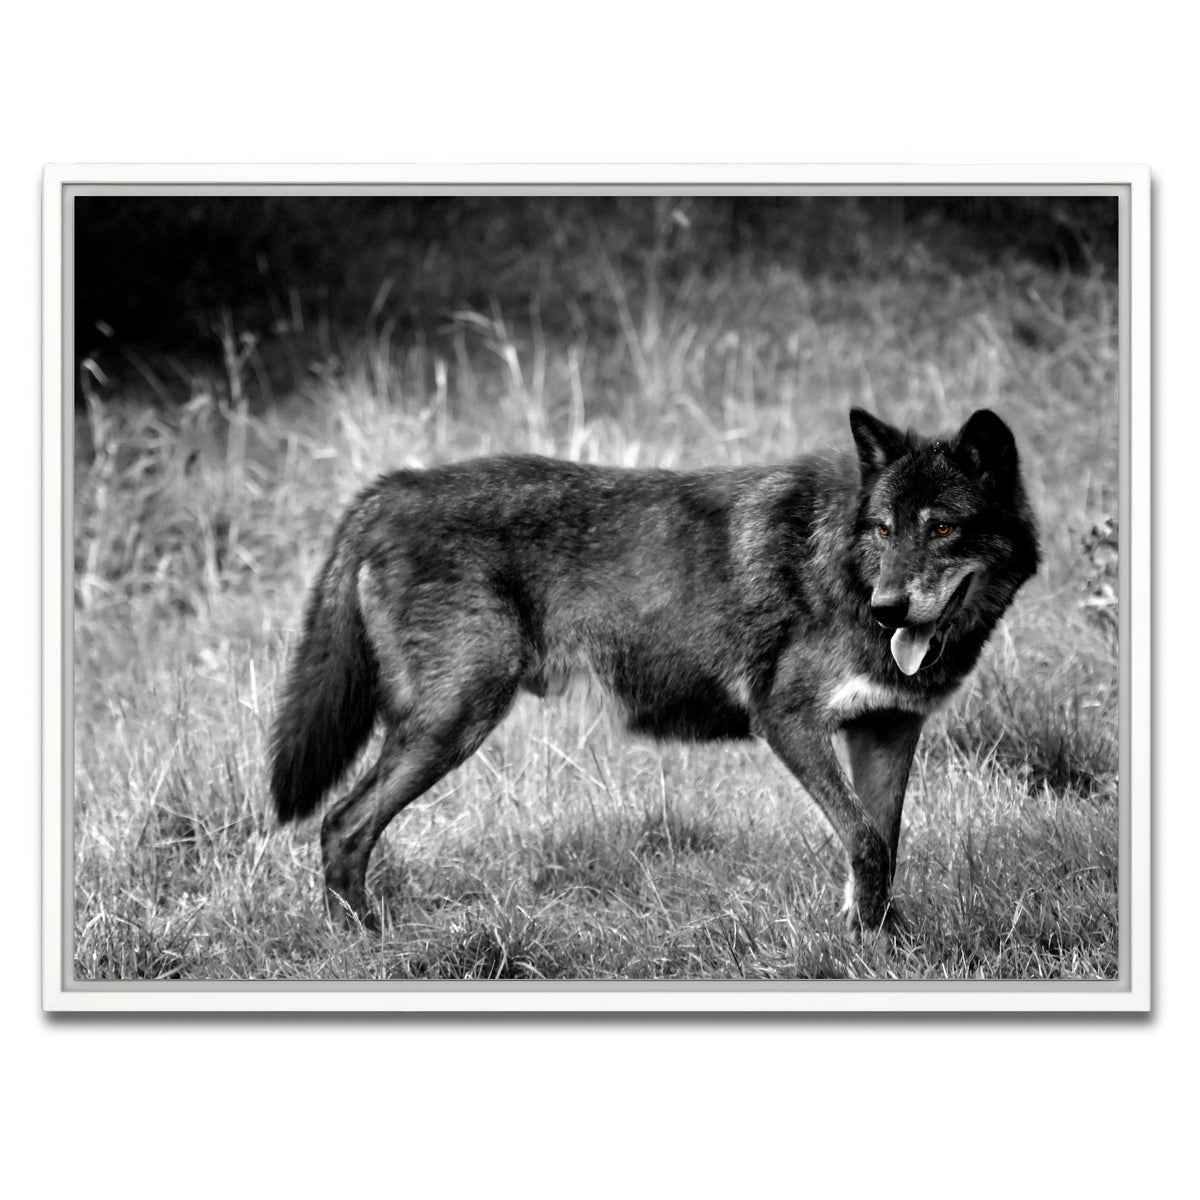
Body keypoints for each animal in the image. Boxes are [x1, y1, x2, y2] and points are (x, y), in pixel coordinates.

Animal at [270, 408, 1039, 935]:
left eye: (942, 528)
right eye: (883, 528)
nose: (888, 609)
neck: (843, 569)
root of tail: (388, 489)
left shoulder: (885, 729)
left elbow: (882, 843)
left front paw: (878, 943)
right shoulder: (787, 720)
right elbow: (865, 840)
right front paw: (864, 946)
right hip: (453, 723)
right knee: (342, 824)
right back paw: (365, 942)